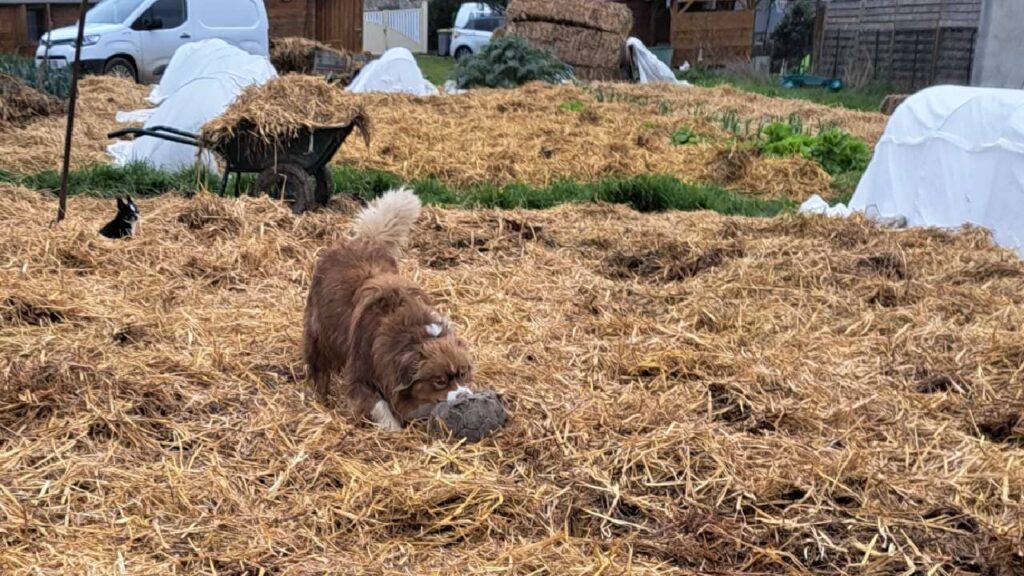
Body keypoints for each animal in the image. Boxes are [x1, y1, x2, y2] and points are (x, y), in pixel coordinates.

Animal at [301, 190, 473, 428]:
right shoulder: (361, 376)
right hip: (319, 334)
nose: (464, 396)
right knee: (319, 368)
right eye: (439, 381)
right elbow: (380, 406)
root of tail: (365, 240)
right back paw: (320, 398)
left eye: (463, 374)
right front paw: (393, 428)